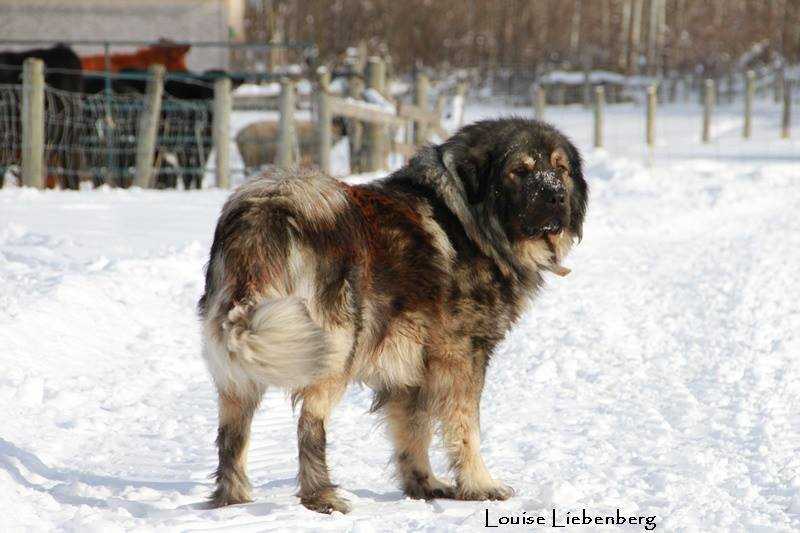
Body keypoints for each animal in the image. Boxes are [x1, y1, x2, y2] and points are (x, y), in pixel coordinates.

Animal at [198, 117, 588, 512]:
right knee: (309, 425)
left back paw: (233, 499)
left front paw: (424, 484)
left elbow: (413, 430)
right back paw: (322, 497)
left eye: (560, 169)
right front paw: (480, 484)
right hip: (333, 348)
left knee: (232, 435)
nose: (556, 195)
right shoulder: (461, 356)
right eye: (519, 171)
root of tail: (266, 212)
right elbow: (465, 427)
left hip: (242, 363)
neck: (469, 221)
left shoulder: (411, 368)